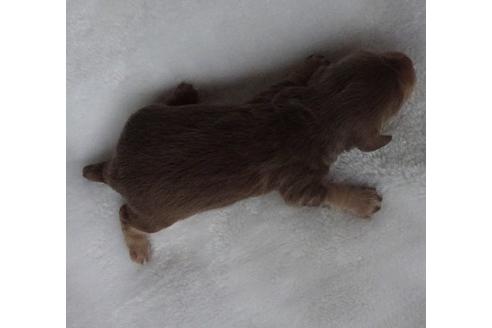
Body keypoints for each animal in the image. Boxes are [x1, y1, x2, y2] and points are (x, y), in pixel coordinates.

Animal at [81, 50, 416, 262]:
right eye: (402, 95)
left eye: (381, 56)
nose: (408, 59)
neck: (318, 113)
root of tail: (111, 168)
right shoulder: (300, 184)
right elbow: (324, 193)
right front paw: (363, 200)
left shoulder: (280, 93)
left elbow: (289, 79)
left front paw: (312, 64)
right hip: (157, 216)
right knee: (125, 215)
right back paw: (138, 247)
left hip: (144, 117)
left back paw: (183, 95)